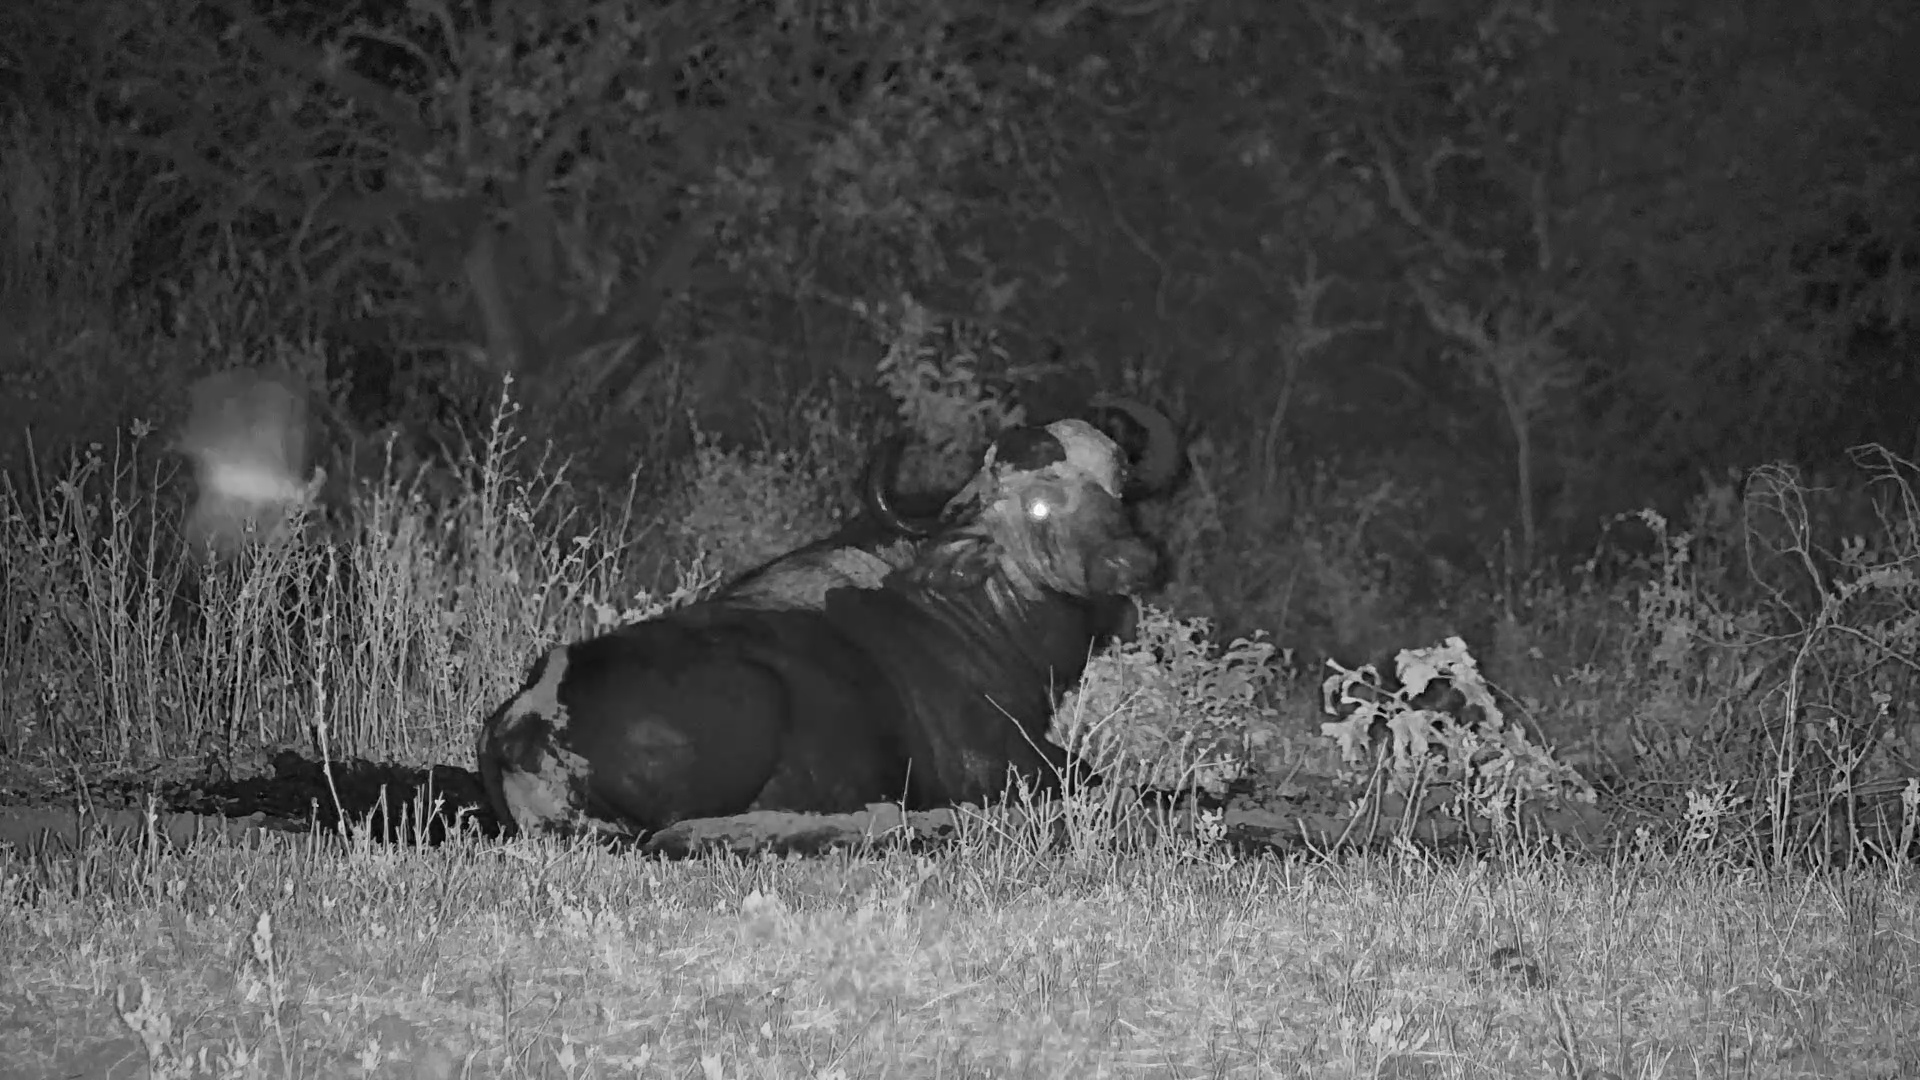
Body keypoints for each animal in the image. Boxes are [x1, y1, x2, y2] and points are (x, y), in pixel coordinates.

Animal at [477, 401, 1178, 839]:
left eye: (1116, 486)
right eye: (1035, 505)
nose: (1135, 561)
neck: (972, 605)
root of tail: (529, 716)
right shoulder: (1014, 765)